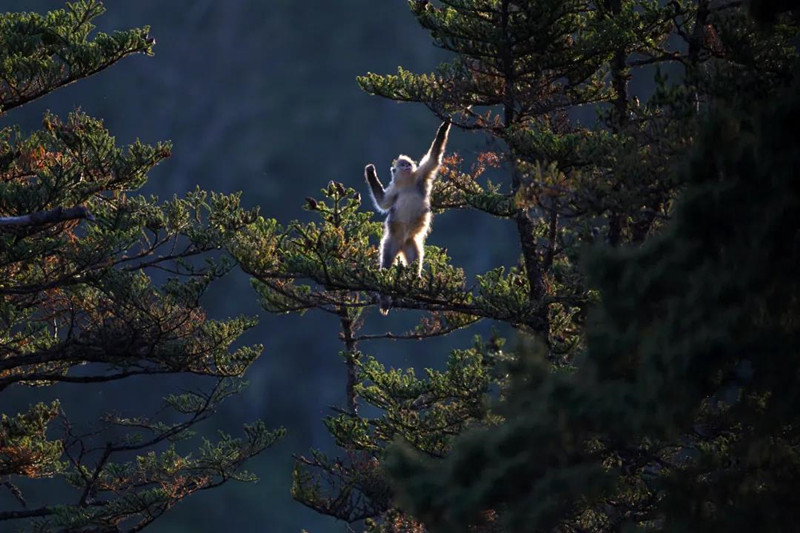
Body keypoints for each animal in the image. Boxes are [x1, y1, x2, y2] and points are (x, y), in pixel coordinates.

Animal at [364, 119, 450, 312]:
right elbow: (383, 204)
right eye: (402, 164)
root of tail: (402, 243)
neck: (407, 182)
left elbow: (433, 158)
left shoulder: (420, 176)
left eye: (408, 164)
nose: (407, 166)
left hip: (411, 244)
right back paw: (385, 296)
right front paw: (370, 173)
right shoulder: (394, 190)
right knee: (387, 262)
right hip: (391, 241)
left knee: (414, 261)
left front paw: (444, 126)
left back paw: (415, 281)